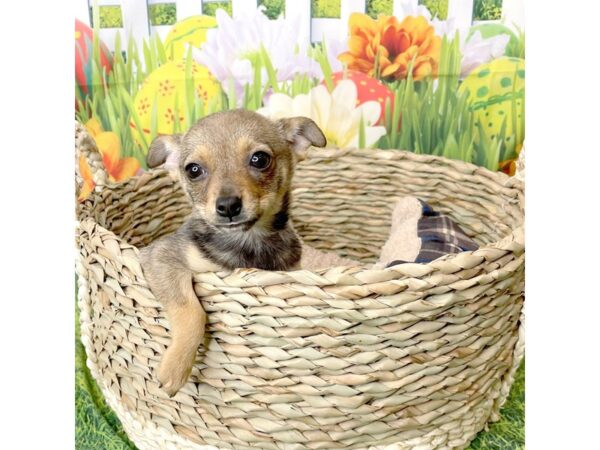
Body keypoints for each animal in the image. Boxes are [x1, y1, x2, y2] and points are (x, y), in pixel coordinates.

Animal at [140, 110, 326, 398]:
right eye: (193, 170)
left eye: (260, 159)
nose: (228, 206)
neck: (247, 241)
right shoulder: (162, 256)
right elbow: (191, 311)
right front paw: (174, 369)